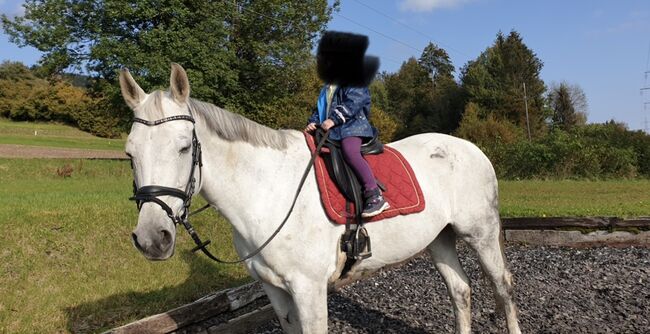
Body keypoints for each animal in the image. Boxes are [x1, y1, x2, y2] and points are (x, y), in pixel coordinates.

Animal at [120, 64, 520, 332]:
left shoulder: (309, 289)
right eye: (129, 153)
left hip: (481, 235)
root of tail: (471, 148)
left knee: (502, 287)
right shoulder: (275, 290)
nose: (152, 239)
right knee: (461, 291)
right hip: (439, 238)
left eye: (184, 147)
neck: (267, 191)